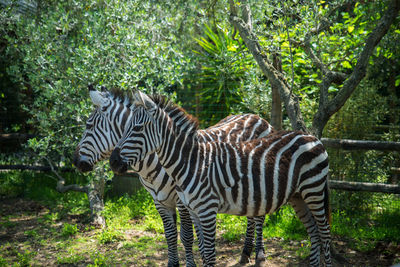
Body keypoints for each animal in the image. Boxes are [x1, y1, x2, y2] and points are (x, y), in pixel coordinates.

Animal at [72, 85, 276, 266]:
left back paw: (259, 254)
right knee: (251, 214)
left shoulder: (181, 201)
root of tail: (255, 116)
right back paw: (245, 252)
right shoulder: (159, 201)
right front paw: (174, 263)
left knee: (259, 217)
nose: (74, 161)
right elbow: (170, 236)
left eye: (89, 125)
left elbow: (186, 236)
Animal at [111, 91, 332, 266]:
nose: (113, 161)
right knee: (313, 232)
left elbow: (209, 253)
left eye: (137, 128)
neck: (190, 162)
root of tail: (311, 137)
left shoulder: (207, 210)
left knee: (324, 233)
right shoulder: (193, 210)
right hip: (298, 196)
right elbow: (200, 247)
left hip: (314, 190)